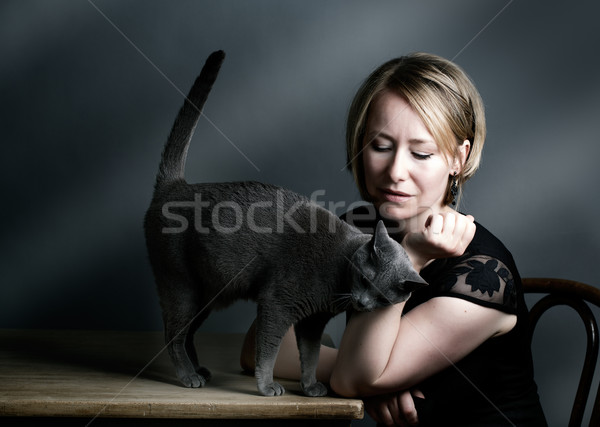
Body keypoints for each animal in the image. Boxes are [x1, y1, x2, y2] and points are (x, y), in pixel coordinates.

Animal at [145, 51, 426, 398]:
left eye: (383, 298)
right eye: (363, 278)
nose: (361, 303)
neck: (338, 277)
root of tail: (175, 186)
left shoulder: (313, 321)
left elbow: (311, 354)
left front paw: (310, 386)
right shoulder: (277, 305)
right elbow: (269, 350)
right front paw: (267, 387)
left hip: (207, 294)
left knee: (188, 334)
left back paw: (199, 370)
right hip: (181, 286)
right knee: (173, 333)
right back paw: (188, 376)